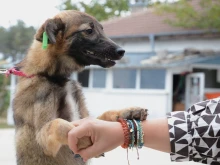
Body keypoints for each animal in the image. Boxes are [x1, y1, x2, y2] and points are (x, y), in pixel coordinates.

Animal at [13, 10, 148, 165]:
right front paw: (84, 140)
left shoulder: (84, 118)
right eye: (89, 31)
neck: (53, 76)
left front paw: (129, 111)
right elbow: (60, 124)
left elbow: (103, 116)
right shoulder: (42, 139)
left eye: (102, 29)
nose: (122, 51)